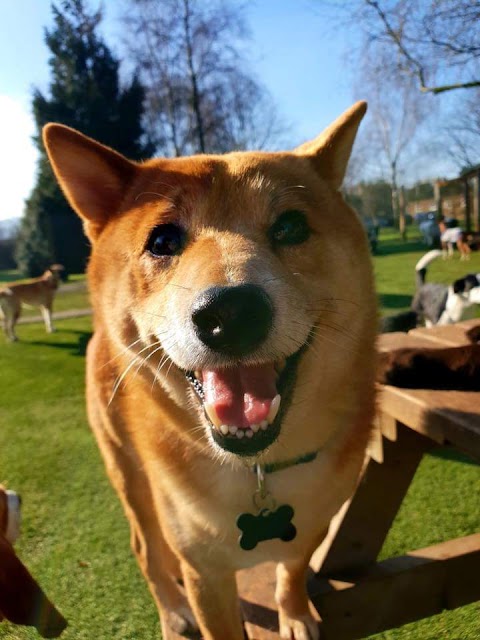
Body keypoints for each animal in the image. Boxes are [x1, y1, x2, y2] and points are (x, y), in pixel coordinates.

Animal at [43, 102, 376, 636]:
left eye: (289, 227)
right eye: (162, 240)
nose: (231, 313)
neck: (257, 471)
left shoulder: (314, 524)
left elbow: (292, 568)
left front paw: (295, 613)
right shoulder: (205, 572)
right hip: (128, 474)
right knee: (145, 549)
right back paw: (172, 612)